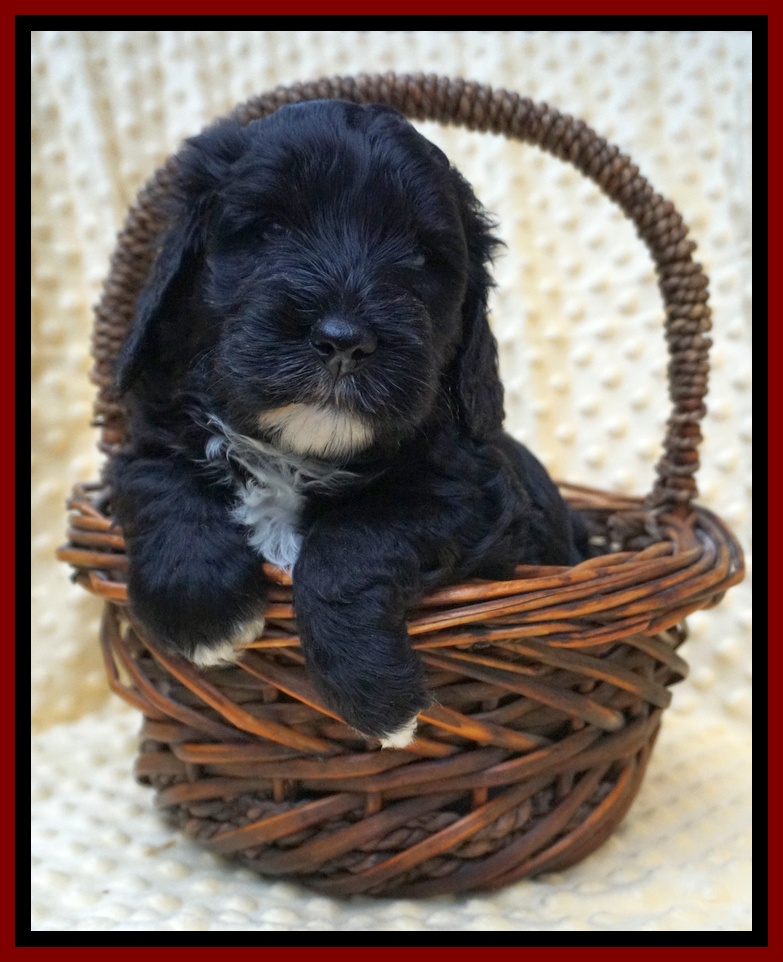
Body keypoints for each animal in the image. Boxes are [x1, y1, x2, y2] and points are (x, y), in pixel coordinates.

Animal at [110, 99, 590, 748]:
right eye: (270, 231)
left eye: (419, 257)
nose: (343, 340)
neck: (294, 454)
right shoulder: (151, 432)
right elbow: (155, 476)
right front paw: (200, 609)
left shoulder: (470, 495)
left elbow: (353, 542)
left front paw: (376, 695)